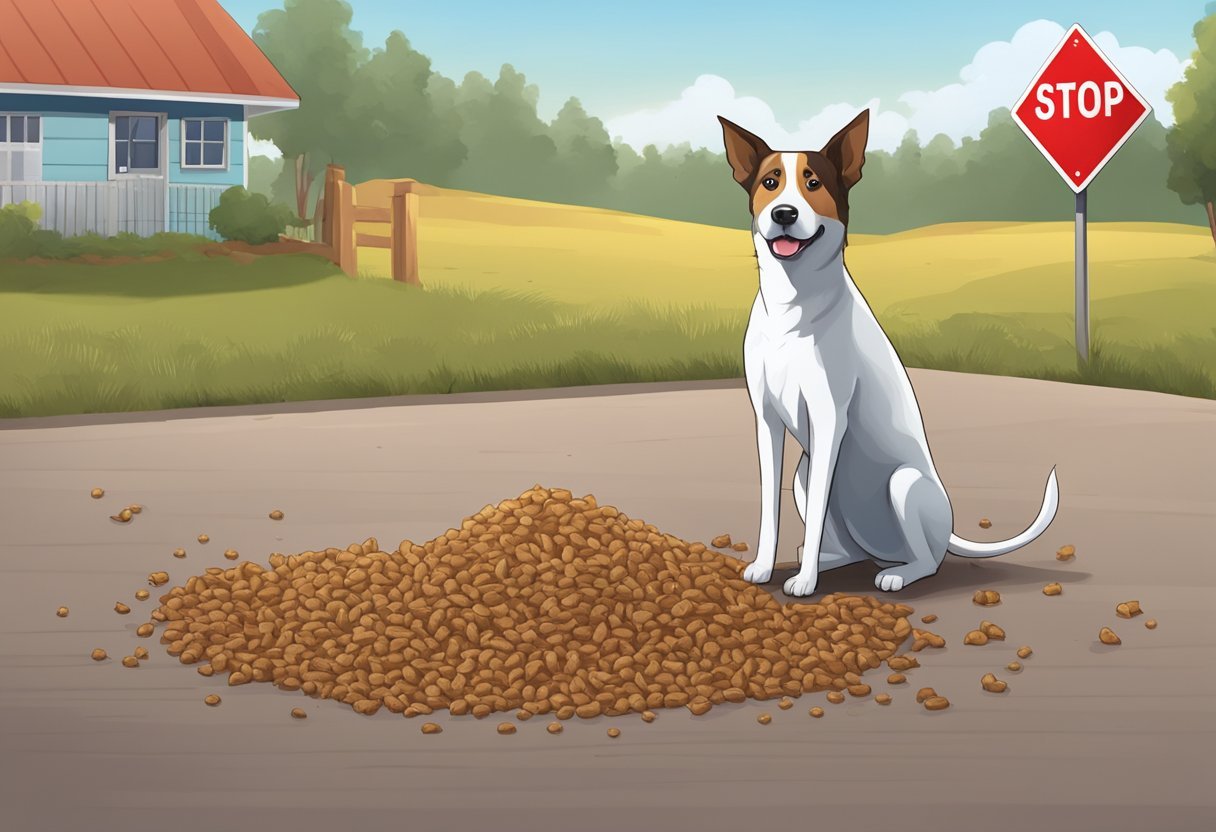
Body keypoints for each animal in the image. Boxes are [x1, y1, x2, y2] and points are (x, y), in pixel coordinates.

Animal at [715, 110, 1060, 593]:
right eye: (769, 182)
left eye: (813, 182)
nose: (784, 213)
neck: (792, 304)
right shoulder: (766, 418)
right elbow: (770, 507)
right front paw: (765, 567)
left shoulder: (829, 418)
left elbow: (815, 513)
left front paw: (804, 584)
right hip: (805, 474)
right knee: (847, 546)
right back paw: (830, 559)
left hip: (904, 484)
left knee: (927, 560)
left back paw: (896, 574)